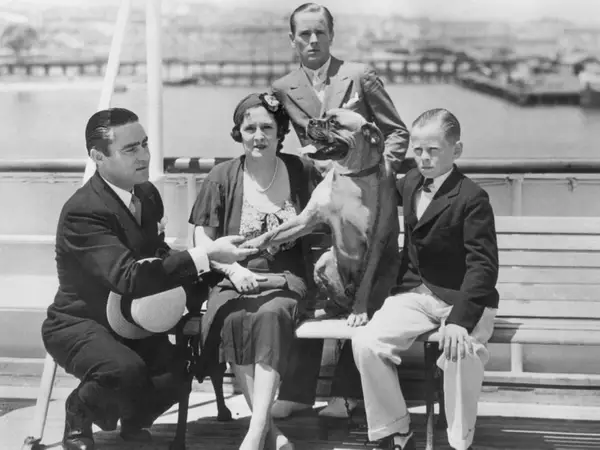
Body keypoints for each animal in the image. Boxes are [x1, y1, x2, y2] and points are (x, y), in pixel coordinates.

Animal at [242, 108, 401, 326]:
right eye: (324, 115)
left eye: (334, 123)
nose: (312, 121)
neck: (351, 176)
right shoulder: (306, 220)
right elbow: (273, 234)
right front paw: (252, 242)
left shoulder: (376, 239)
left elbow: (366, 280)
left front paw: (359, 312)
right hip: (324, 262)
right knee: (336, 299)